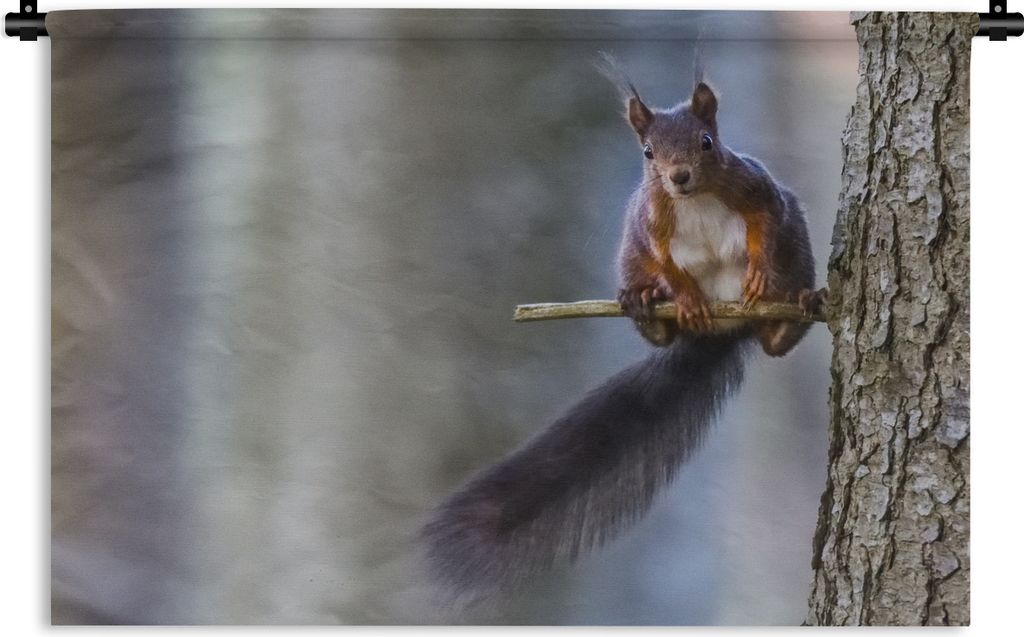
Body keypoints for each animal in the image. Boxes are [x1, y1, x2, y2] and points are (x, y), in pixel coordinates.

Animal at [420, 59, 825, 598]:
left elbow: (766, 221)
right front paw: (683, 296)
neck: (693, 199)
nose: (678, 177)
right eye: (647, 152)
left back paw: (795, 308)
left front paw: (758, 271)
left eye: (706, 142)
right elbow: (667, 263)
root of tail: (724, 329)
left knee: (778, 339)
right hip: (629, 259)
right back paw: (646, 306)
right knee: (657, 315)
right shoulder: (650, 225)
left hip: (796, 253)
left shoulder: (757, 190)